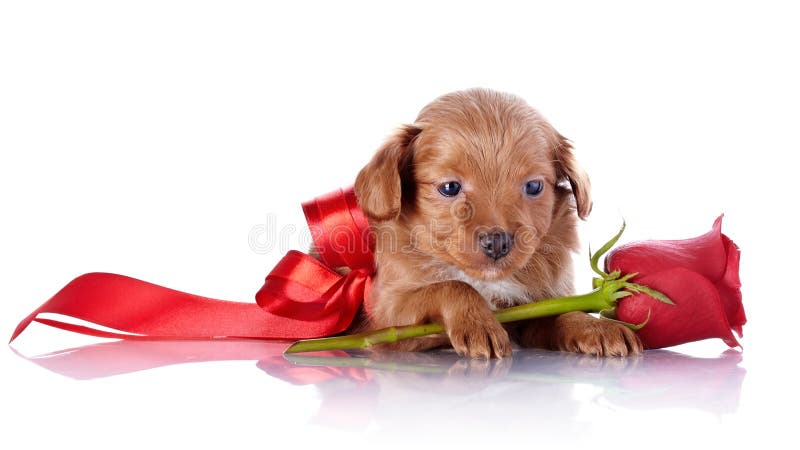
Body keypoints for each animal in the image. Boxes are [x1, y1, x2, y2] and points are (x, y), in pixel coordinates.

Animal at [344, 88, 644, 356]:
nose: (497, 243)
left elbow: (561, 314)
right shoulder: (388, 315)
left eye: (534, 186)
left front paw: (595, 327)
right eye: (450, 187)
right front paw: (479, 323)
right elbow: (452, 286)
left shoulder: (534, 307)